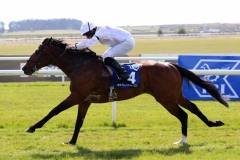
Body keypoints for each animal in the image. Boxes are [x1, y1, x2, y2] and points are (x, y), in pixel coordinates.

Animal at [22, 37, 229, 145]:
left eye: (38, 51)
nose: (25, 68)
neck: (80, 66)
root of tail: (171, 64)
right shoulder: (85, 100)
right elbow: (79, 122)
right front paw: (72, 142)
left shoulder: (76, 95)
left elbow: (54, 110)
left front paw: (32, 127)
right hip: (174, 95)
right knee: (193, 108)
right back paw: (209, 125)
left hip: (165, 98)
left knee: (183, 114)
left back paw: (183, 141)